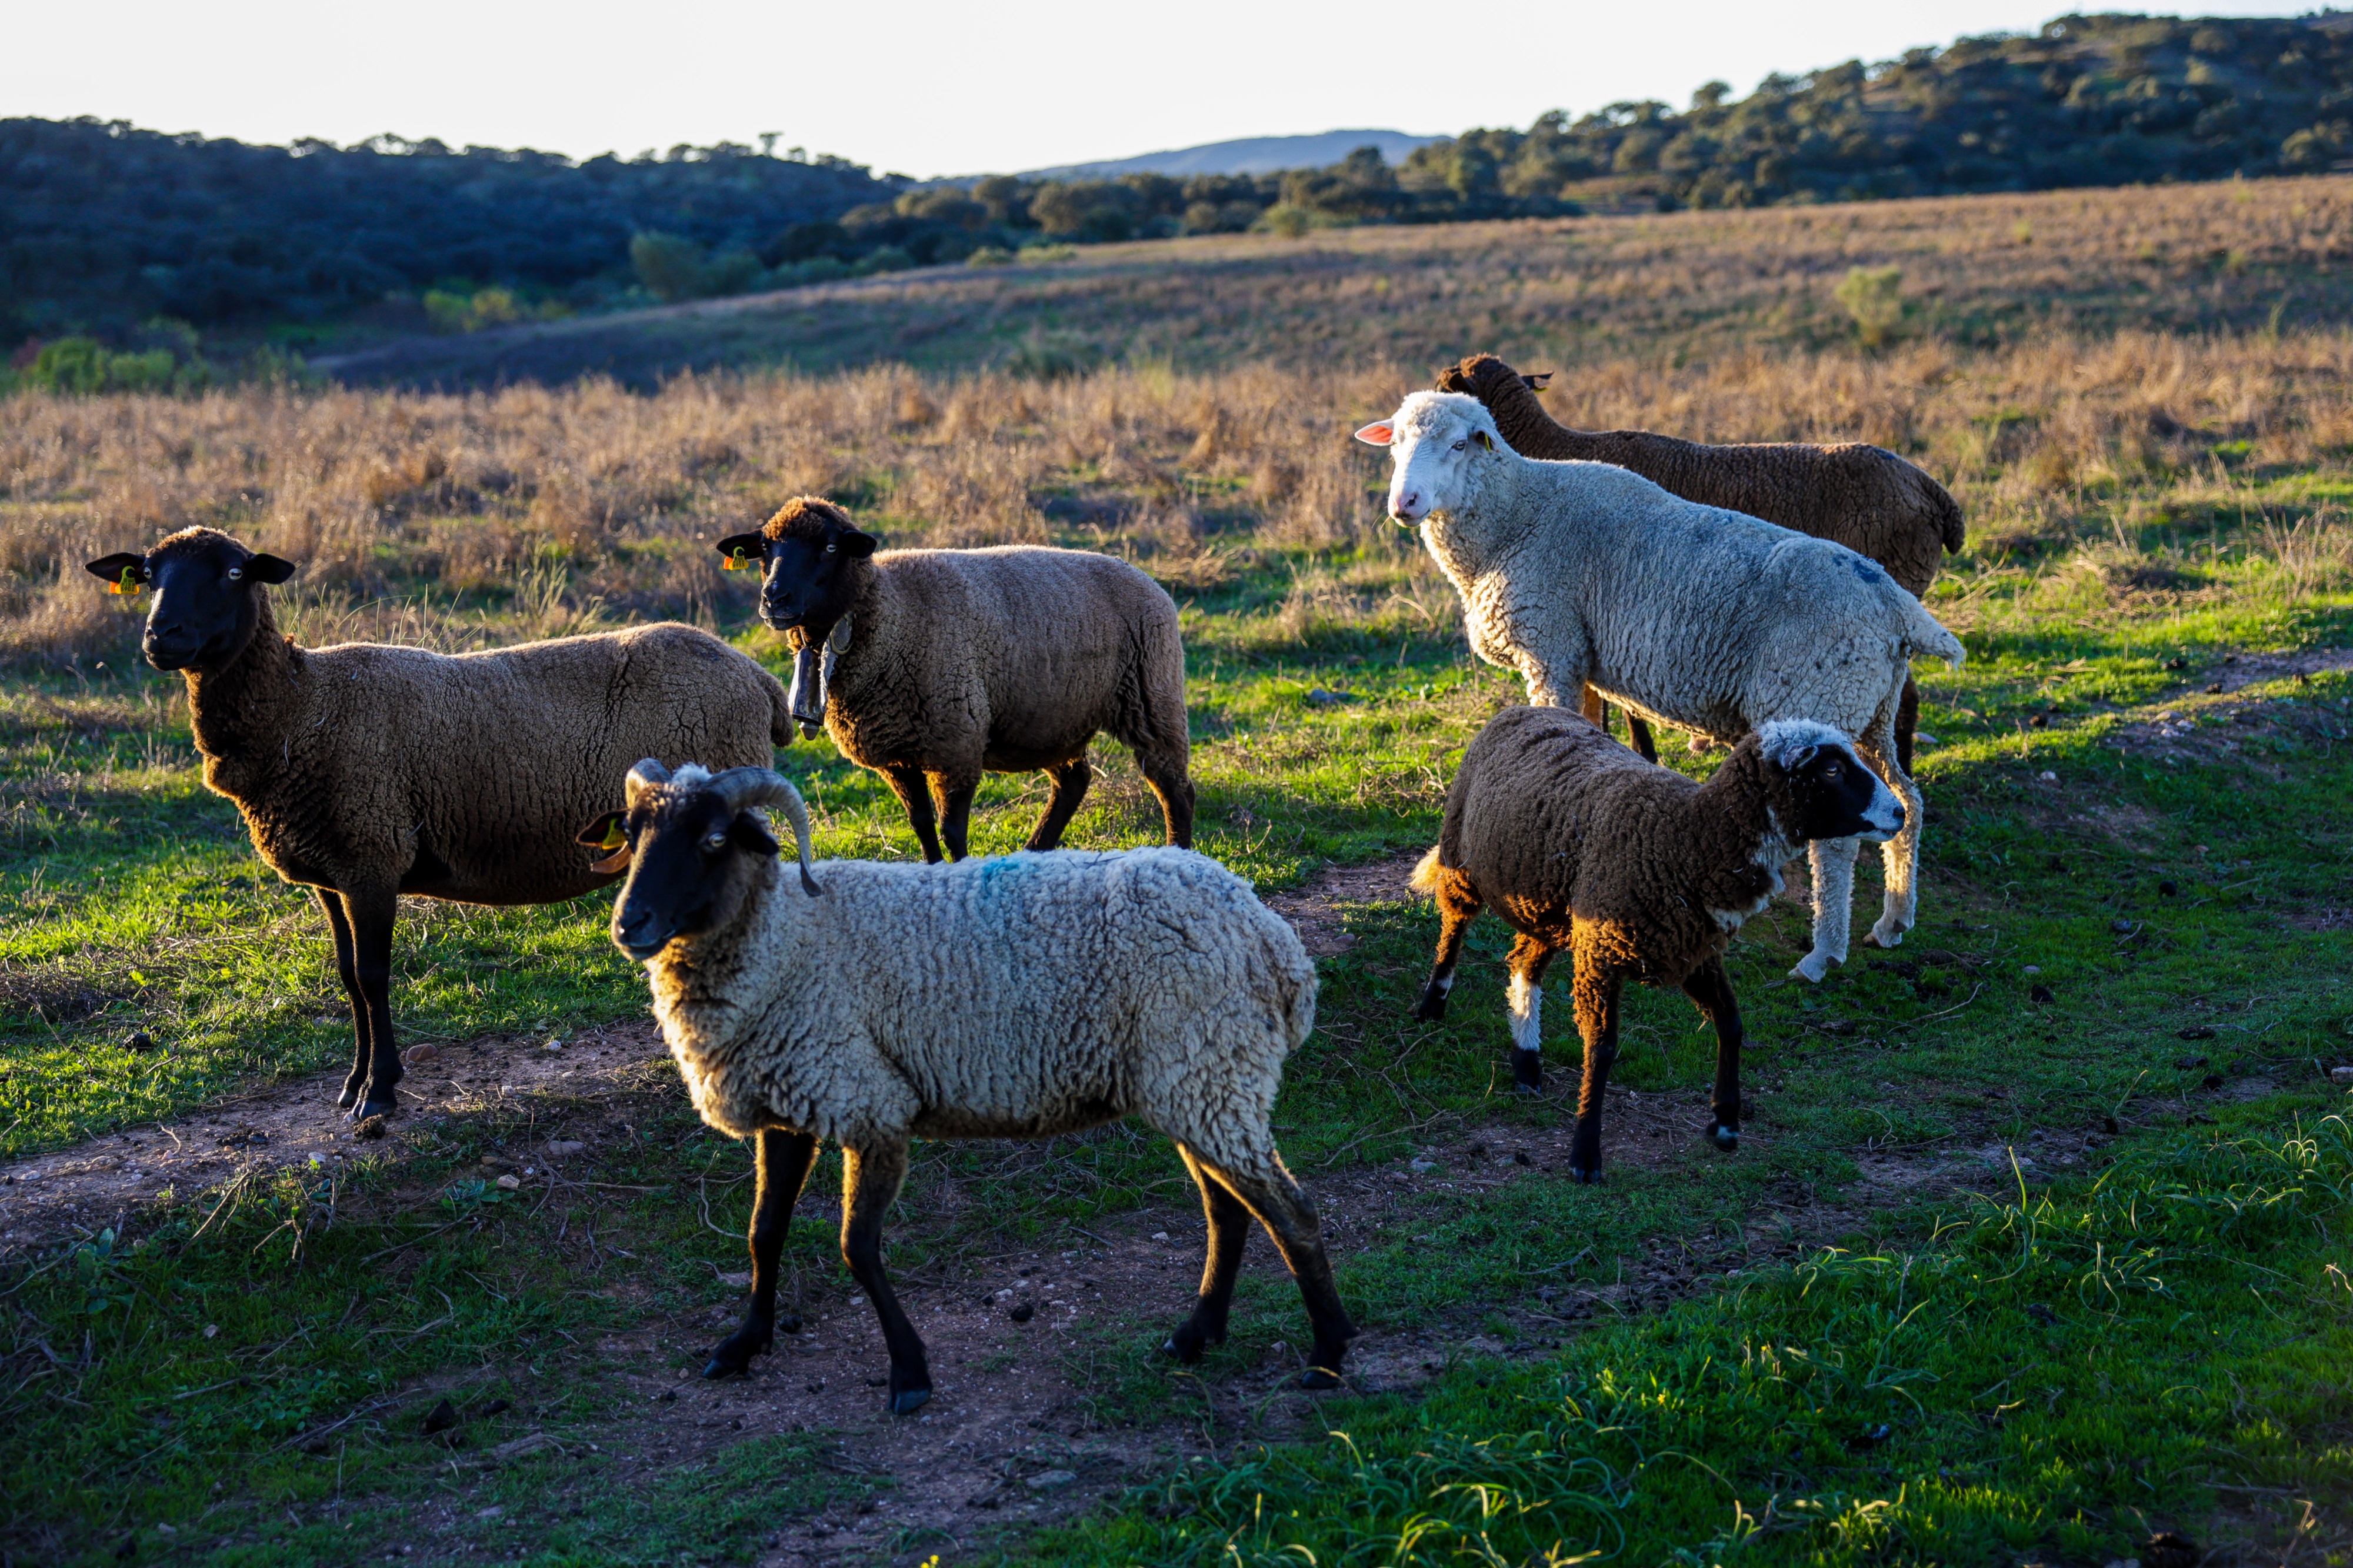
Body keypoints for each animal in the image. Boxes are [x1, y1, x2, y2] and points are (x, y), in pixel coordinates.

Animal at [83, 526, 791, 1122]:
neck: (299, 706)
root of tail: (756, 676)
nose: (161, 637)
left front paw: (378, 1091)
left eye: (232, 573)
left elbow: (373, 976)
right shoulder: (329, 874)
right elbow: (347, 976)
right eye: (149, 575)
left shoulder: (371, 856)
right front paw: (353, 1082)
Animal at [579, 759, 1353, 1412]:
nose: (629, 922)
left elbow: (856, 1248)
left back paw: (1327, 1356)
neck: (787, 937)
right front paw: (743, 1344)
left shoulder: (872, 1105)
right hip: (1193, 1081)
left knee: (1290, 1210)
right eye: (632, 833)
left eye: (713, 839)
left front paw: (909, 1372)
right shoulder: (787, 1104)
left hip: (1210, 1072)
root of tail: (1272, 939)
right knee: (1228, 1210)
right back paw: (1196, 1335)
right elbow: (763, 1233)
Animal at [714, 497, 1193, 863]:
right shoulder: (895, 754)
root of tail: (1146, 579)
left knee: (1175, 788)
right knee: (1074, 782)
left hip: (1152, 696)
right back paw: (1035, 851)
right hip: (1052, 718)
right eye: (764, 547)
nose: (775, 599)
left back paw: (1179, 853)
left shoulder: (956, 744)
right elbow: (922, 826)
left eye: (831, 547)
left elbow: (952, 831)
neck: (891, 615)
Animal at [1410, 707, 1904, 1180]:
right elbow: (1601, 1049)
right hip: (1463, 857)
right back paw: (1433, 1004)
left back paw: (1527, 1062)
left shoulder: (1693, 952)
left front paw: (1725, 1123)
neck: (1688, 839)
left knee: (1524, 964)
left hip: (1551, 909)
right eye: (1832, 770)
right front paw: (1585, 1156)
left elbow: (1732, 1024)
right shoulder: (1603, 954)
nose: (1899, 813)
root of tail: (1521, 709)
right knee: (1454, 928)